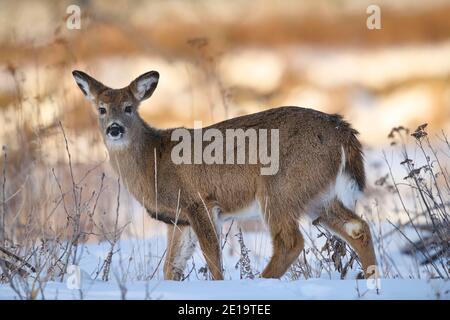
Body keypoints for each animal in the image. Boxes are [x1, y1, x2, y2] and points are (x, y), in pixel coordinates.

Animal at [73, 69, 376, 280]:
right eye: (101, 109)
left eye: (129, 107)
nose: (114, 128)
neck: (153, 162)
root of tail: (342, 129)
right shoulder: (179, 220)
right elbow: (172, 268)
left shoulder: (199, 202)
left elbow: (213, 259)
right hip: (317, 194)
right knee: (358, 227)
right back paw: (372, 279)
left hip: (279, 188)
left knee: (290, 242)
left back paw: (260, 282)